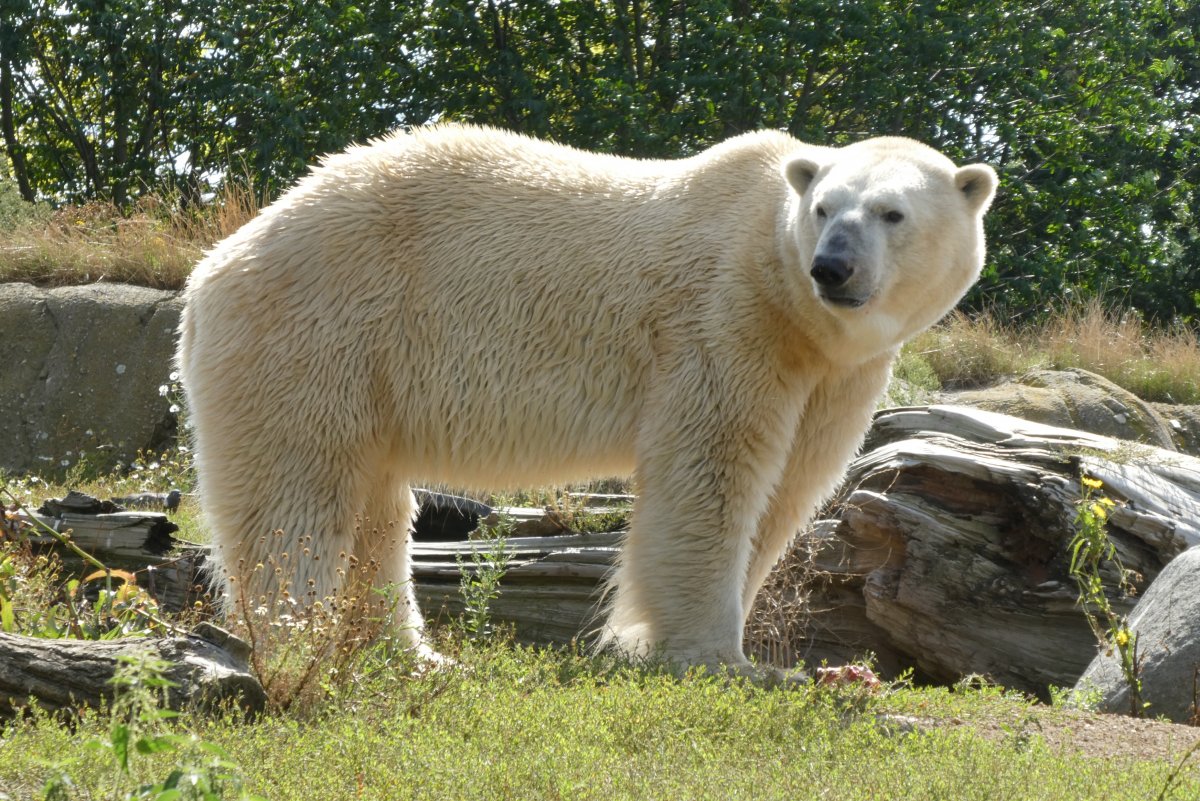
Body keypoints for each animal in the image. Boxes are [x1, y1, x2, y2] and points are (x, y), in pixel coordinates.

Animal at [177, 125, 998, 676]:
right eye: (827, 207)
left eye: (892, 213)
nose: (832, 267)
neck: (784, 289)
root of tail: (217, 263)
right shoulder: (727, 322)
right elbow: (713, 474)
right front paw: (716, 656)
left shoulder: (832, 371)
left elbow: (791, 487)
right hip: (320, 331)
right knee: (297, 494)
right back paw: (301, 637)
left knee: (376, 508)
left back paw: (410, 652)